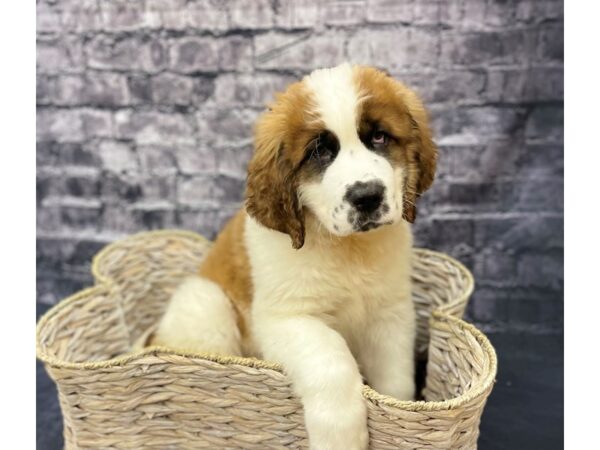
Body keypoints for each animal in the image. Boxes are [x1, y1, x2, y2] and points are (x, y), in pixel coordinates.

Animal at [152, 63, 438, 450]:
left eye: (379, 137)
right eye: (320, 152)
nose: (366, 196)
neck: (347, 249)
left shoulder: (390, 312)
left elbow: (396, 376)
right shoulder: (285, 319)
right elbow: (330, 354)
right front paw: (341, 437)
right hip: (206, 301)